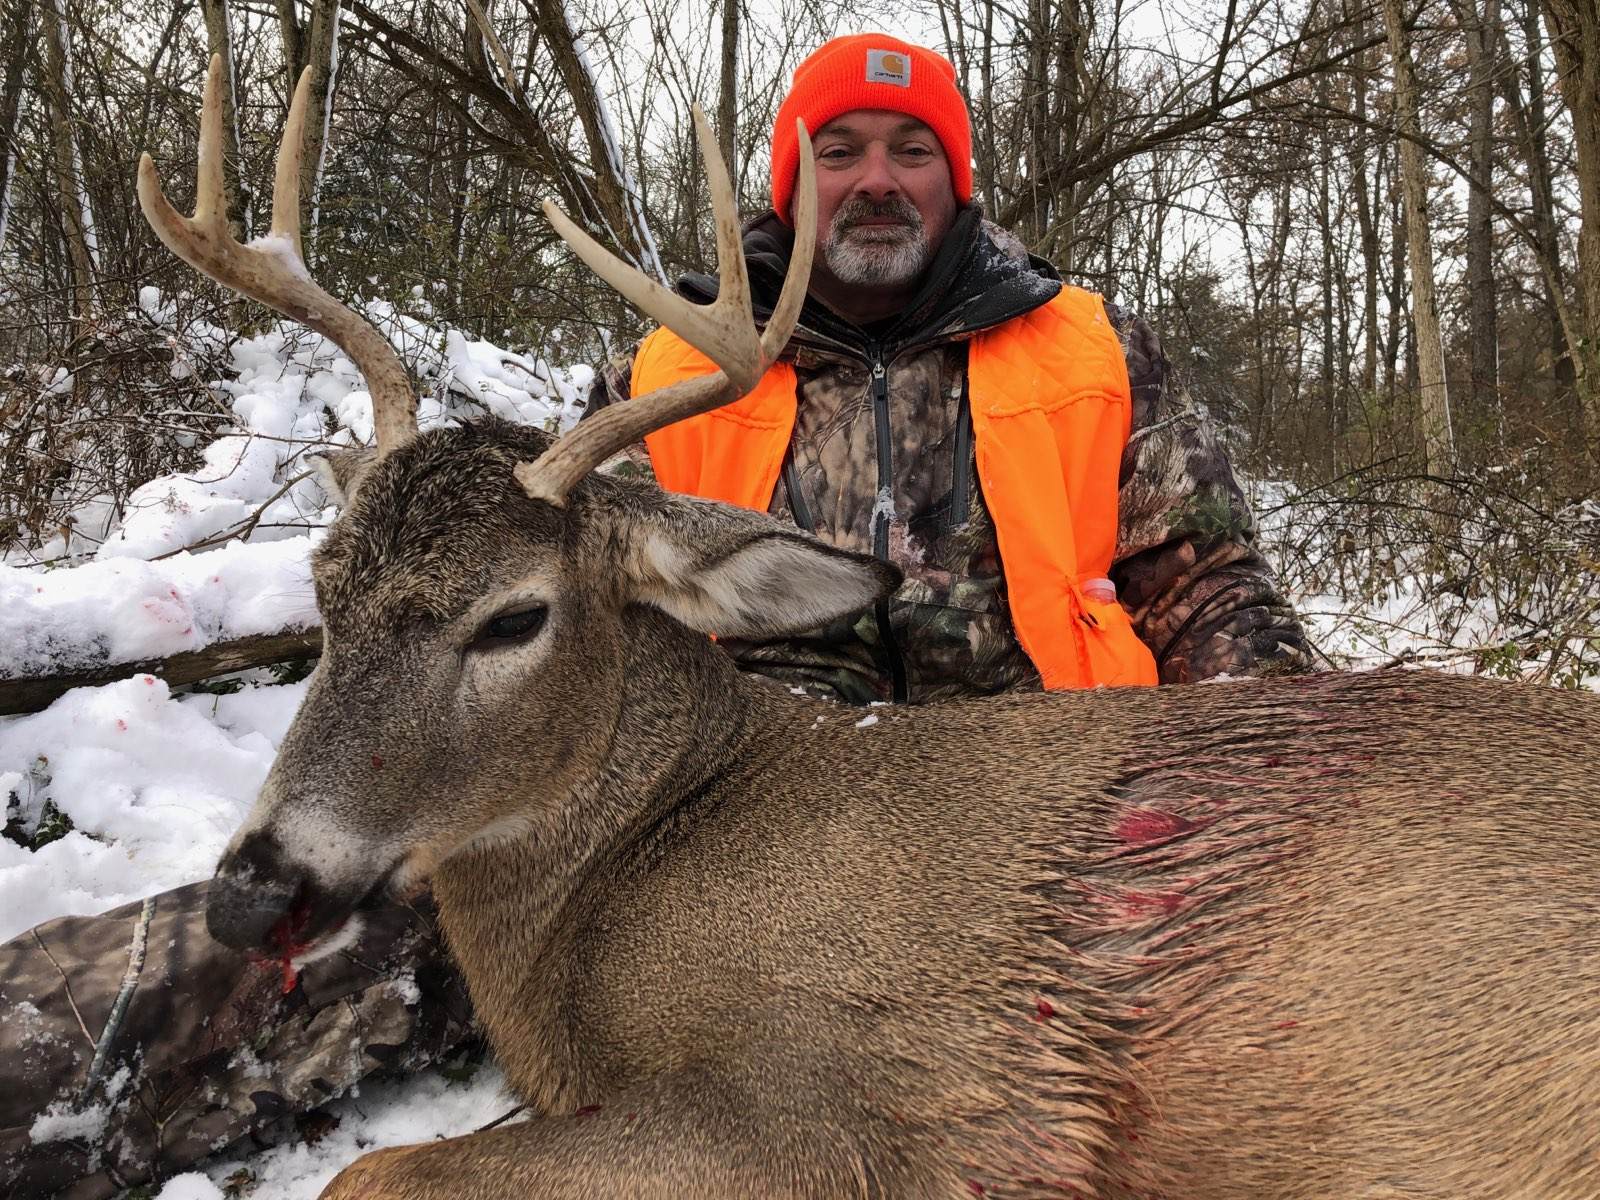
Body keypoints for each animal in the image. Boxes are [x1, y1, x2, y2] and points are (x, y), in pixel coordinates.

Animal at [138, 56, 1600, 1200]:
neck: (630, 874)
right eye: (322, 585)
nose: (254, 888)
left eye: (515, 617)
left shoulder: (838, 1106)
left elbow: (374, 1171)